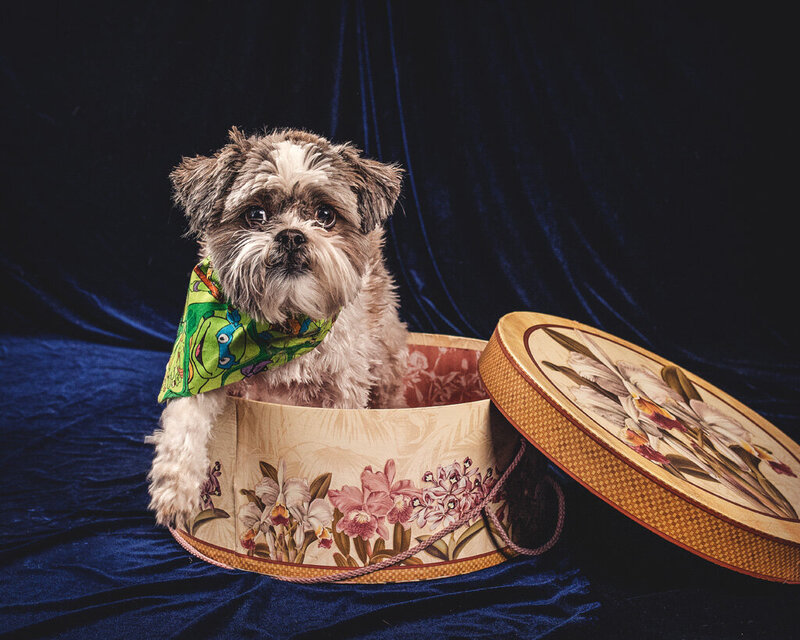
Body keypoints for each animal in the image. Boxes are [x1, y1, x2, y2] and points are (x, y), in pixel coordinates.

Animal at [146, 127, 406, 528]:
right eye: (256, 214)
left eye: (325, 215)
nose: (291, 235)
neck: (284, 320)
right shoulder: (198, 367)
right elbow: (184, 419)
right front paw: (176, 490)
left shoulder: (344, 388)